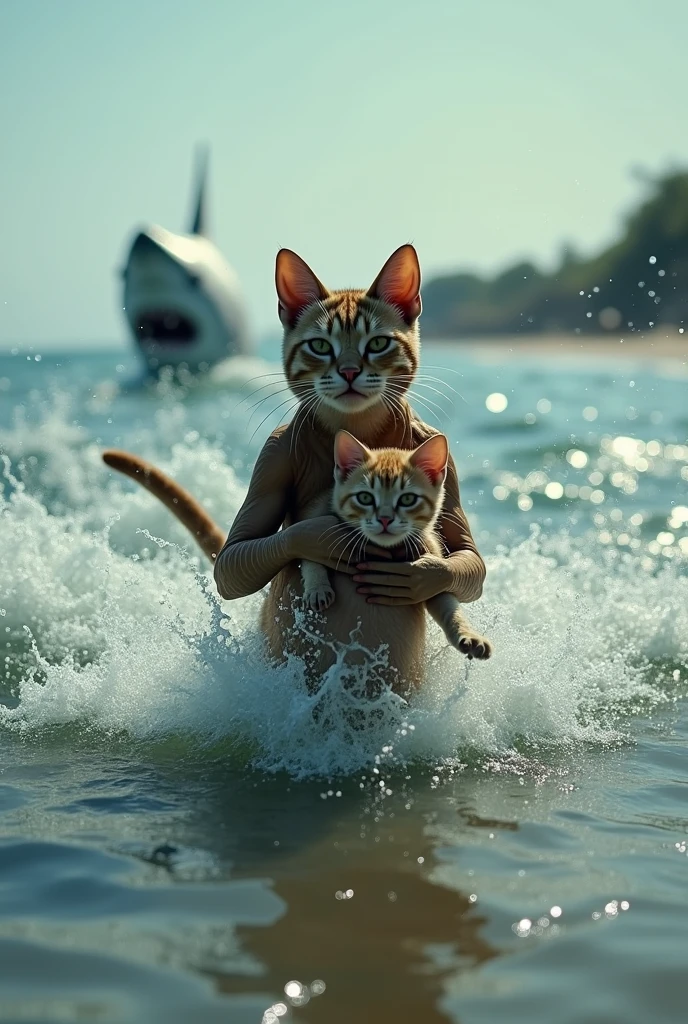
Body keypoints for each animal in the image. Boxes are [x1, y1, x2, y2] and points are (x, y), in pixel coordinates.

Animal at [301, 428, 489, 659]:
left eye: (407, 499)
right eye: (365, 497)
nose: (384, 519)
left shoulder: (431, 571)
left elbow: (449, 607)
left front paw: (468, 634)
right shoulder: (315, 517)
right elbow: (310, 554)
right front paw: (317, 587)